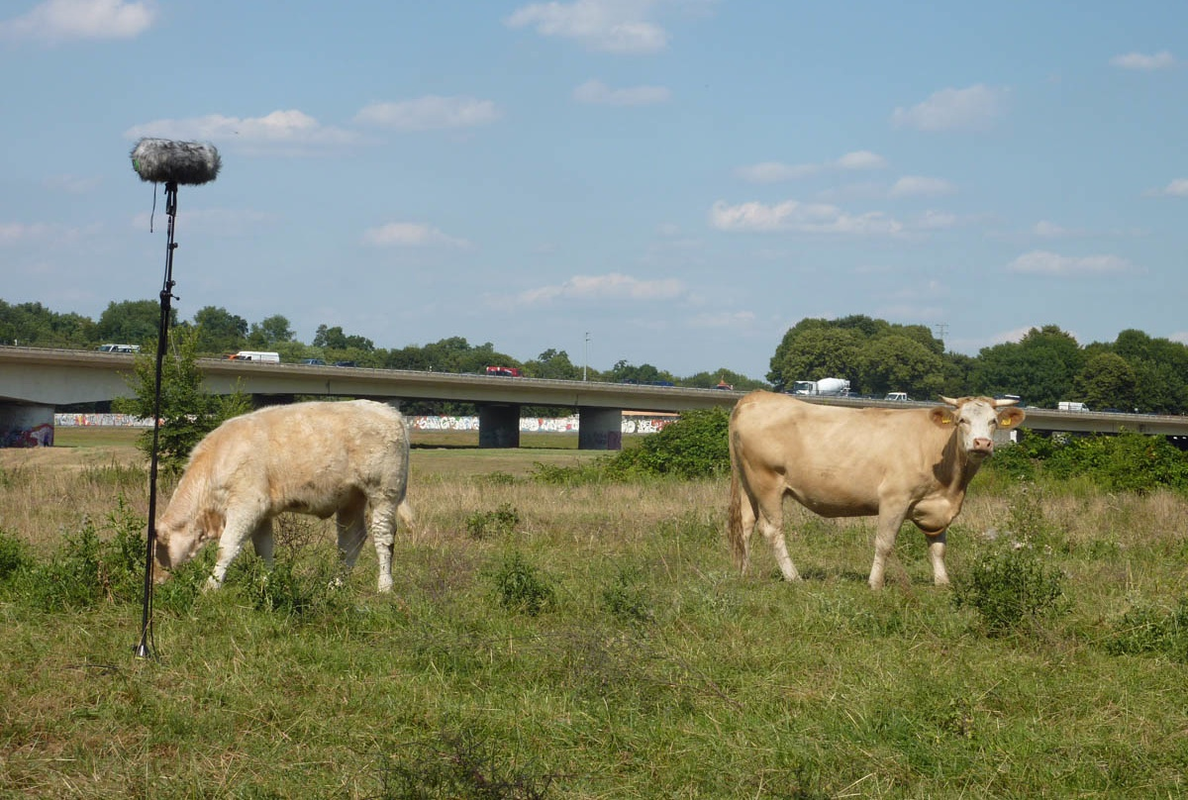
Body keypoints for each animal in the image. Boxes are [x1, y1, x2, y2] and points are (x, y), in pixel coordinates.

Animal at [154, 399, 413, 593]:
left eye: (158, 549)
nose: (155, 581)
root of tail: (390, 411)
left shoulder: (246, 506)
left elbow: (226, 548)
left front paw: (210, 588)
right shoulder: (261, 513)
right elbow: (264, 550)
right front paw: (266, 583)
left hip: (384, 493)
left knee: (383, 537)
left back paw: (384, 587)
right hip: (351, 498)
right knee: (351, 540)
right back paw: (336, 585)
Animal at [727, 392, 1025, 589]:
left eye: (993, 421)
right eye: (961, 420)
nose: (982, 443)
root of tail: (757, 397)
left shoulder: (937, 507)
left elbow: (938, 548)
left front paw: (942, 583)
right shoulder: (894, 498)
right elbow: (884, 543)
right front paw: (875, 583)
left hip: (750, 485)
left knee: (746, 524)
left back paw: (744, 573)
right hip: (767, 483)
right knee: (772, 530)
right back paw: (794, 577)